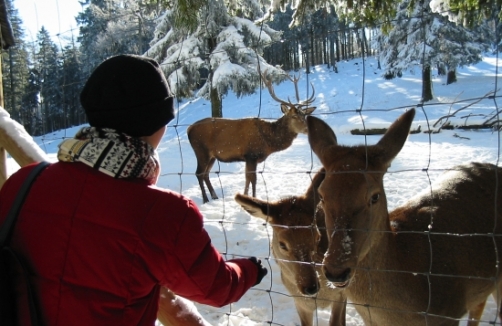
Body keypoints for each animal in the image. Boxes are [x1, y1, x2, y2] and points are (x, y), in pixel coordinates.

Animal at [186, 71, 316, 202]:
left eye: (304, 115)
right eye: (294, 116)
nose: (308, 128)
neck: (268, 141)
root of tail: (189, 129)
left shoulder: (249, 158)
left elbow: (247, 178)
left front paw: (245, 196)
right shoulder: (251, 155)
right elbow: (253, 179)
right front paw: (253, 198)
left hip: (212, 156)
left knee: (206, 173)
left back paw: (214, 196)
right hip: (201, 151)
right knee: (199, 173)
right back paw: (205, 199)